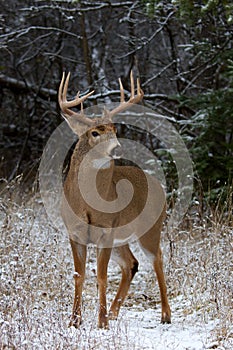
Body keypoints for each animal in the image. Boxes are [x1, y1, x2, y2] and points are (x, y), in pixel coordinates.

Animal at [58, 70, 171, 328]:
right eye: (95, 132)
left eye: (114, 130)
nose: (117, 148)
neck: (86, 205)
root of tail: (160, 187)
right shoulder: (74, 232)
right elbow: (78, 275)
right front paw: (74, 321)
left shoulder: (106, 231)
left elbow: (101, 276)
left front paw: (101, 322)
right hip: (122, 238)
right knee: (131, 264)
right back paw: (113, 312)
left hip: (150, 228)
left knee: (157, 258)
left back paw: (165, 314)